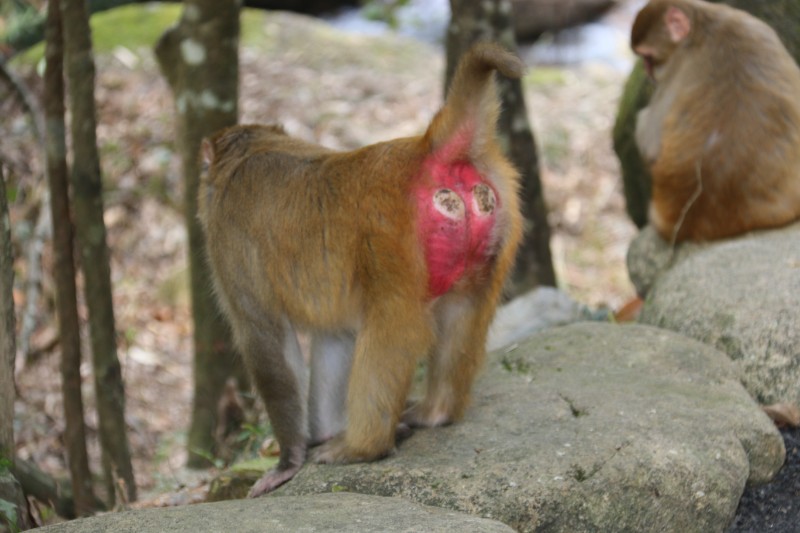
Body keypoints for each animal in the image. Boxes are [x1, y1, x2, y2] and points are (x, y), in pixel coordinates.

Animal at [198, 41, 524, 494]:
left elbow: (266, 340)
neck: (252, 151)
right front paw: (319, 433)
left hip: (390, 241)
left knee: (393, 329)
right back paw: (435, 412)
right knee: (463, 312)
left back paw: (363, 446)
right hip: (492, 238)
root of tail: (425, 149)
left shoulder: (229, 245)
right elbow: (335, 336)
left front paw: (288, 460)